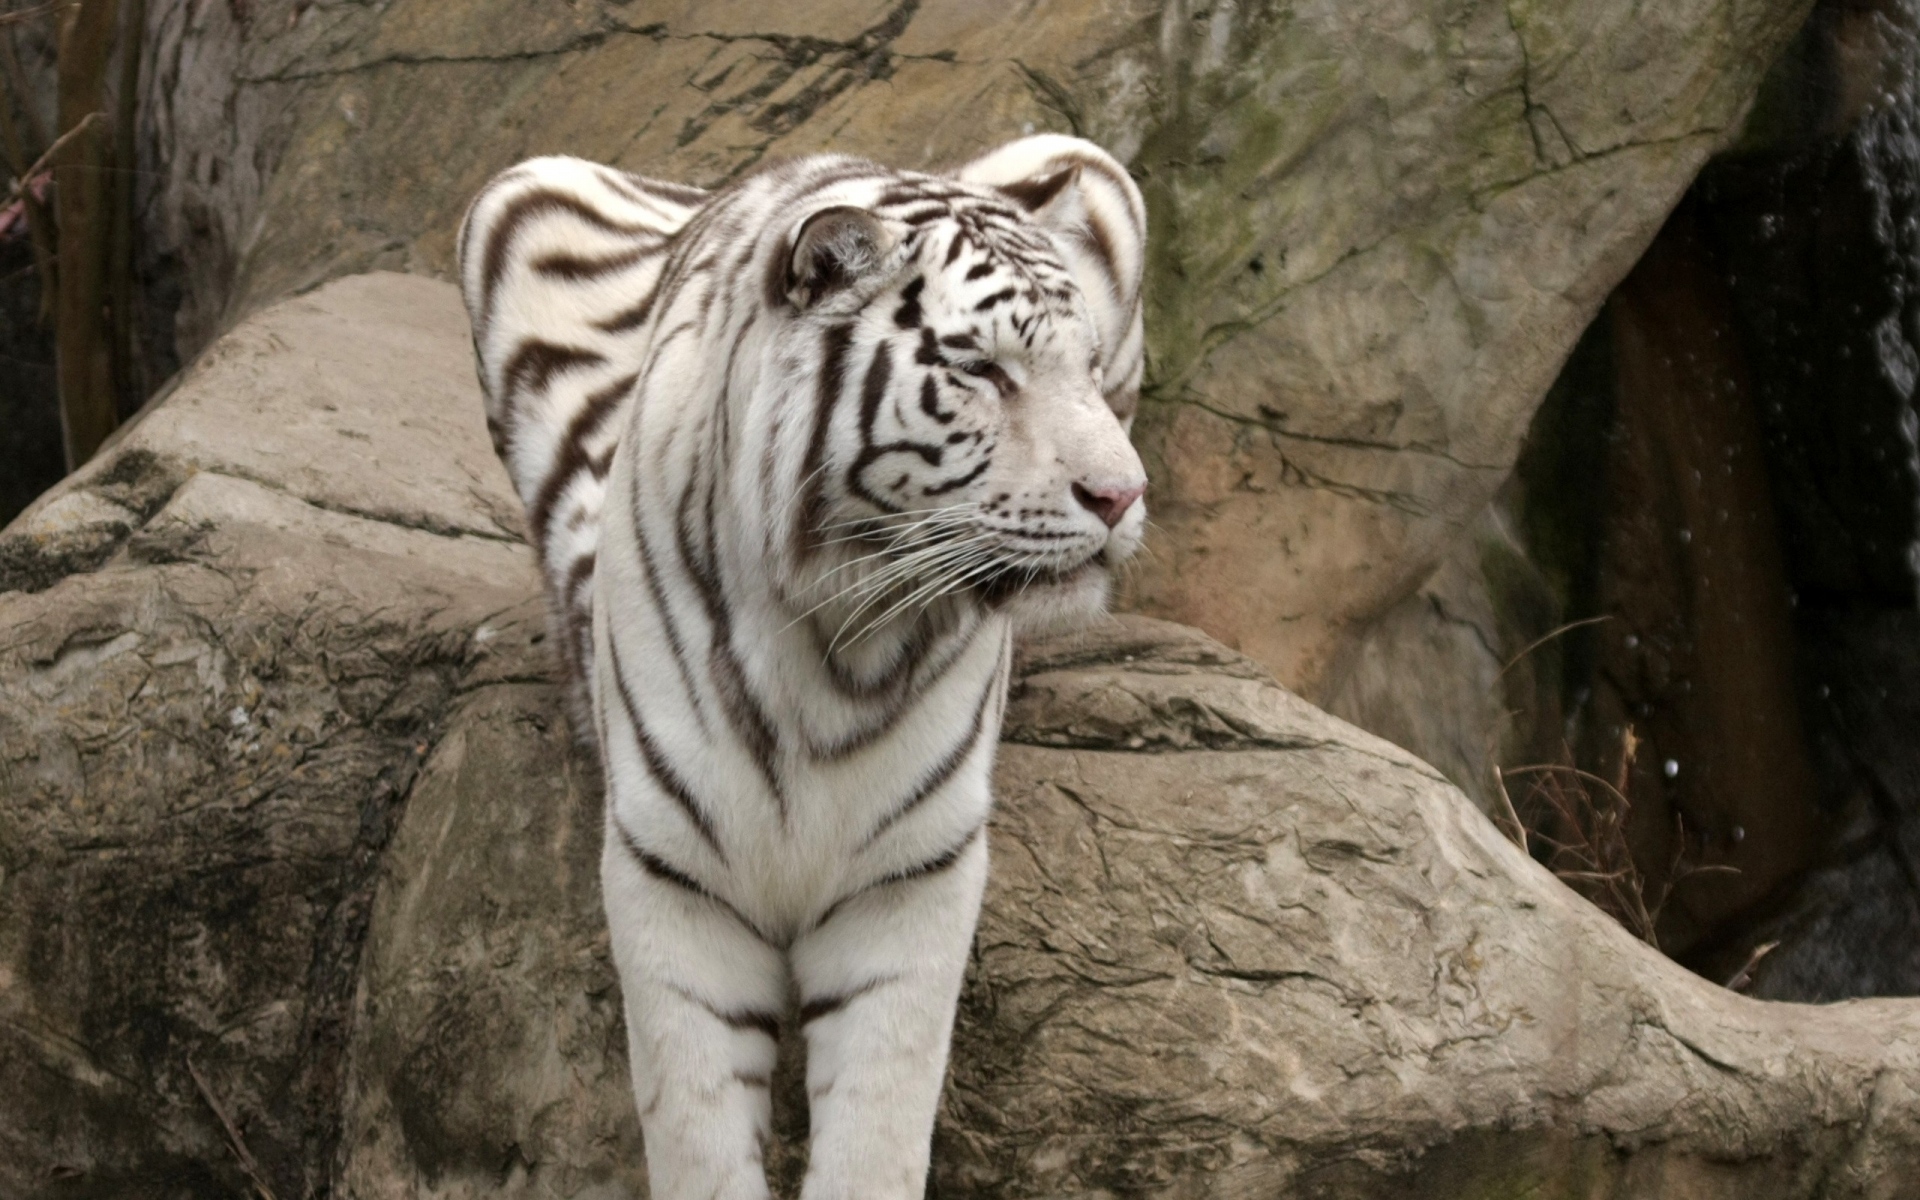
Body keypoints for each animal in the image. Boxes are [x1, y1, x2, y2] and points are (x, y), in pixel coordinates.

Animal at [457, 134, 1148, 1199]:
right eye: (982, 370)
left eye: (1091, 365)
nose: (1122, 496)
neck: (841, 636)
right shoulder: (674, 872)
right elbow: (694, 1130)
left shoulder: (911, 875)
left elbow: (879, 1126)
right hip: (519, 195)